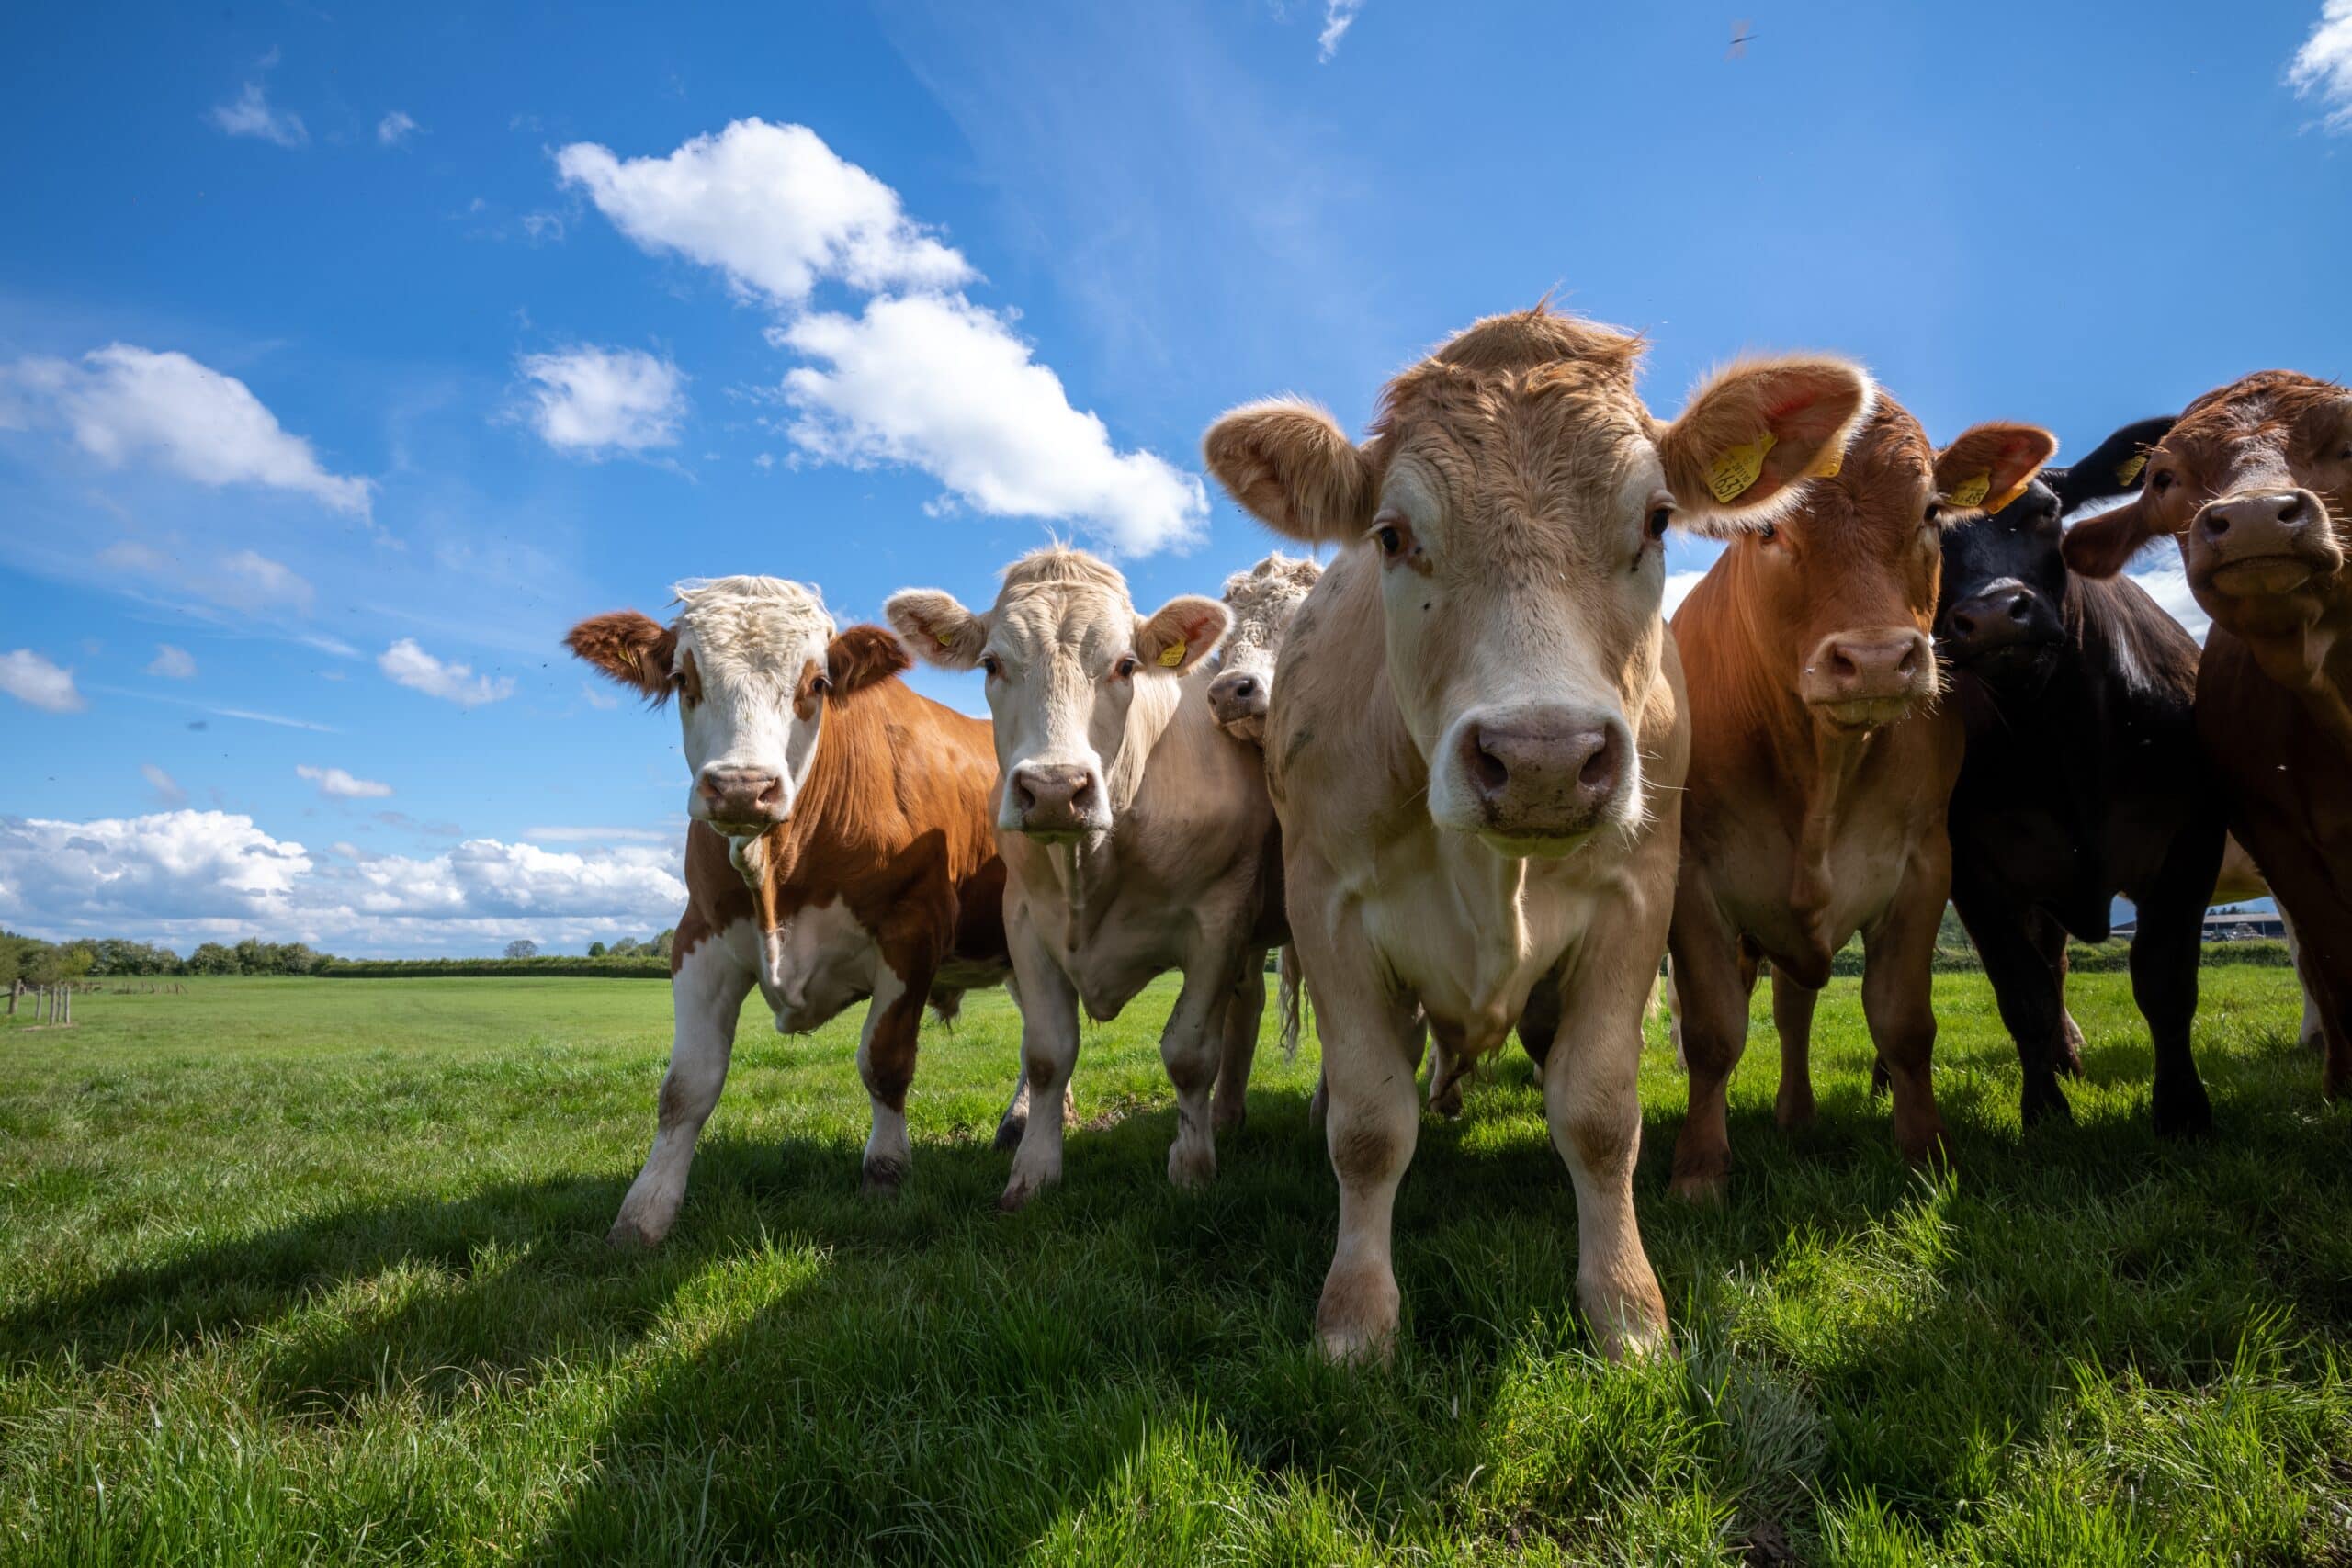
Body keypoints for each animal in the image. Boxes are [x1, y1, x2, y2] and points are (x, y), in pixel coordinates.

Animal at [568, 576, 1009, 1242]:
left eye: (817, 683)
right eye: (683, 678)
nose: (742, 787)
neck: (779, 865)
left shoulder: (913, 930)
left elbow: (884, 1062)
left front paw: (885, 1174)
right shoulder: (700, 937)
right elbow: (686, 1086)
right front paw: (643, 1214)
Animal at [885, 549, 1284, 1209]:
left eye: (1126, 665)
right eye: (991, 663)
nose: (1053, 789)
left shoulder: (1221, 919)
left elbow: (1189, 1053)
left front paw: (1192, 1166)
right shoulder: (1024, 921)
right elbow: (1047, 1053)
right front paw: (1032, 1170)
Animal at [1203, 305, 1874, 1360]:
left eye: (1656, 520)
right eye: (1391, 534)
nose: (1543, 757)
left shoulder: (1639, 899)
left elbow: (1597, 1113)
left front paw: (1627, 1312)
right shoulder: (1328, 906)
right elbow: (1368, 1123)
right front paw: (1356, 1318)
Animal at [1666, 397, 2056, 1200]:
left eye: (1932, 510)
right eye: (1766, 526)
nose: (1876, 659)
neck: (1823, 769)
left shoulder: (1923, 865)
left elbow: (1904, 1023)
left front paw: (1927, 1153)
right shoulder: (1694, 876)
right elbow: (1713, 1030)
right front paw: (1699, 1168)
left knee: (1794, 1008)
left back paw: (1797, 1115)